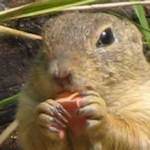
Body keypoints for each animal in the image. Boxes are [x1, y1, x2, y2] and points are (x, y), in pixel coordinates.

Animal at [16, 12, 150, 149]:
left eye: (107, 37)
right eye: (43, 41)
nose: (61, 73)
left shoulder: (142, 103)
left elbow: (136, 134)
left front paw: (100, 114)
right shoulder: (27, 106)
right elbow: (33, 138)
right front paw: (45, 113)